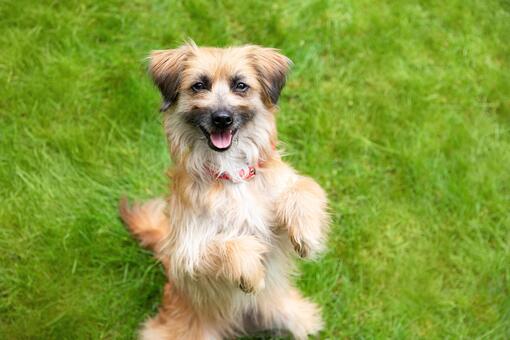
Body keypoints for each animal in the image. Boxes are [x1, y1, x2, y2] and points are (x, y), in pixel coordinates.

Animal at [121, 43, 332, 340]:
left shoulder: (277, 219)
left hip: (294, 317)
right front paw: (251, 273)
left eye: (240, 85)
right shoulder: (187, 251)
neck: (232, 175)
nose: (222, 119)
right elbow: (228, 245)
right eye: (199, 85)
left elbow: (305, 188)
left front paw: (307, 234)